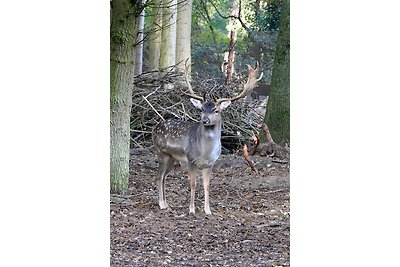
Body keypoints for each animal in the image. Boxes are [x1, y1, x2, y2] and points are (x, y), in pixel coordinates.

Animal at [152, 59, 262, 216]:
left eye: (216, 110)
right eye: (202, 109)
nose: (205, 120)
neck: (205, 152)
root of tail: (155, 127)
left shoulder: (210, 163)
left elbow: (207, 185)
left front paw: (208, 210)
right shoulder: (191, 159)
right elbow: (193, 183)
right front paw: (192, 209)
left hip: (172, 158)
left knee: (165, 176)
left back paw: (167, 204)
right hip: (161, 152)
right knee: (159, 175)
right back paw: (161, 204)